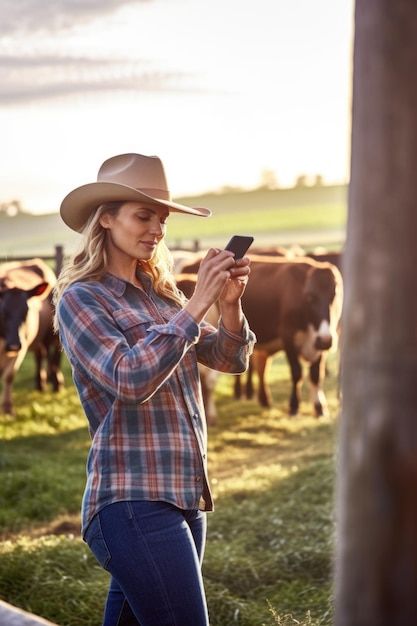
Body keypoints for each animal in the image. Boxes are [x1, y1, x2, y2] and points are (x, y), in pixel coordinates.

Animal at [0, 258, 63, 414]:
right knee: (41, 355)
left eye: (26, 310)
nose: (14, 345)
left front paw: (7, 408)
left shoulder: (22, 346)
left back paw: (55, 384)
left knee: (52, 356)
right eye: (3, 311)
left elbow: (9, 375)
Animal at [234, 254, 342, 420]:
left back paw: (264, 399)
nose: (325, 339)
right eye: (310, 296)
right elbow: (297, 373)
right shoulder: (289, 339)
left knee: (261, 368)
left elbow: (316, 375)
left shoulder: (321, 343)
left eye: (335, 295)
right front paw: (294, 406)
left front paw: (319, 408)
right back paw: (239, 393)